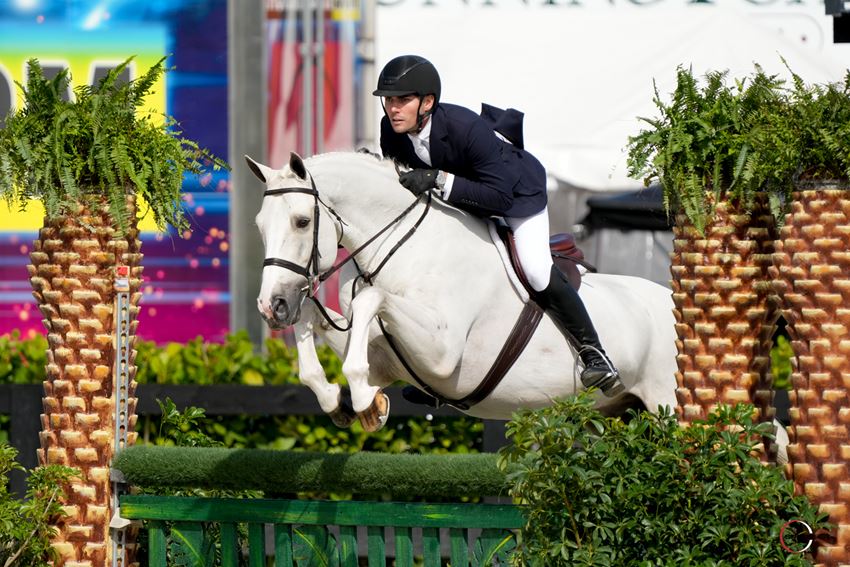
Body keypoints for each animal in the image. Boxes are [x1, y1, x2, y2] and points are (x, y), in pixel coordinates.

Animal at [247, 151, 684, 430]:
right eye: (259, 227)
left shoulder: (441, 354)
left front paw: (363, 398)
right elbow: (318, 319)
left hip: (672, 409)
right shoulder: (387, 357)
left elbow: (371, 298)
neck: (407, 245)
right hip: (620, 412)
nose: (272, 306)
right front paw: (337, 398)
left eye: (302, 222)